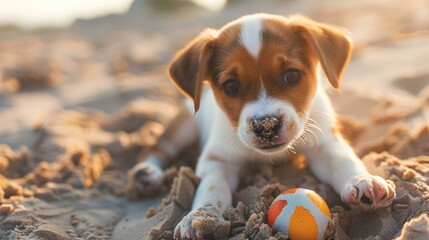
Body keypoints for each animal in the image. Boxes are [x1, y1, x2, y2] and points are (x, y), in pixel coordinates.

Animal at [127, 14, 394, 239]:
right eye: (231, 86)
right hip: (184, 126)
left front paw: (363, 181)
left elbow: (344, 160)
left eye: (292, 75)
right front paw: (200, 217)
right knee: (158, 148)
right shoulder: (216, 159)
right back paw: (148, 173)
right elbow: (213, 188)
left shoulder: (324, 143)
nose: (266, 126)